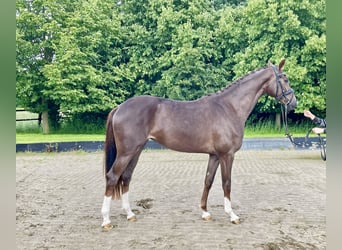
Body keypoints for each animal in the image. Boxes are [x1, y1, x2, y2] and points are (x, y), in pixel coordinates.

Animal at [101, 59, 296, 229]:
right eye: (285, 78)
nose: (293, 103)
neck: (229, 108)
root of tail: (120, 107)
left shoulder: (215, 155)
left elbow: (208, 181)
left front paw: (205, 212)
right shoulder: (227, 155)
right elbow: (226, 183)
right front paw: (232, 215)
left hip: (136, 150)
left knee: (126, 177)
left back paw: (130, 214)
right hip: (126, 152)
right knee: (112, 177)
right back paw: (106, 220)